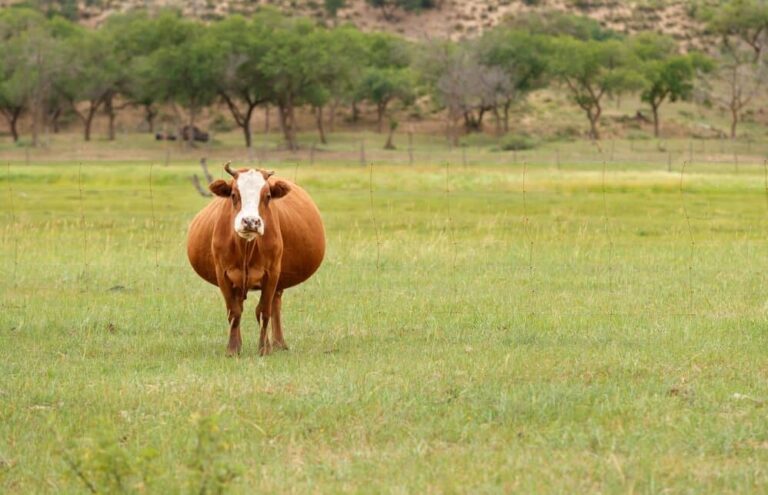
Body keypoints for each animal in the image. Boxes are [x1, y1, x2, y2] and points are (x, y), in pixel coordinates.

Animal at [187, 162, 325, 356]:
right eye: (233, 195)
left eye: (267, 196)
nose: (251, 221)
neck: (246, 246)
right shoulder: (223, 273)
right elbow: (234, 311)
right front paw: (232, 349)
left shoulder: (272, 273)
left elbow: (263, 311)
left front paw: (263, 349)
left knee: (275, 305)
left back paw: (277, 343)